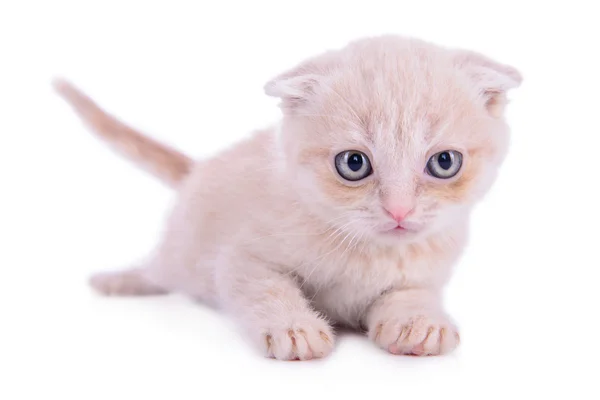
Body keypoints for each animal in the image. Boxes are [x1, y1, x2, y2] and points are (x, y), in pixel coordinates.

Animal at [56, 33, 520, 360]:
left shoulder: (425, 272)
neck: (367, 251)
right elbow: (268, 288)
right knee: (160, 269)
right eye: (354, 163)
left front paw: (420, 324)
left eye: (444, 162)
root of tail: (198, 170)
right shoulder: (240, 258)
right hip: (182, 254)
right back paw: (117, 280)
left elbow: (412, 293)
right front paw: (294, 329)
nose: (399, 210)